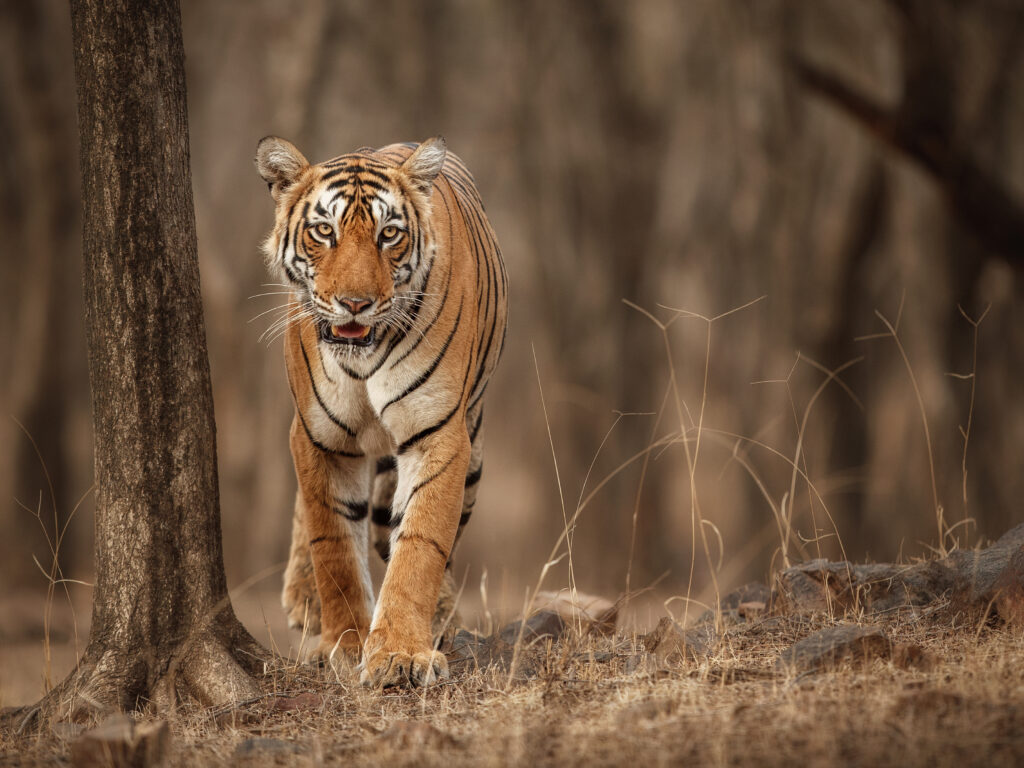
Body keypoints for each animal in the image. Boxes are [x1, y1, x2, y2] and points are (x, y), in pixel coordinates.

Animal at [254, 135, 507, 688]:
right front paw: (346, 644)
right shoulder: (317, 437)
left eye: (389, 234)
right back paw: (304, 599)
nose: (355, 303)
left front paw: (399, 654)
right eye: (323, 231)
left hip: (474, 451)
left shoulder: (438, 433)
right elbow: (333, 545)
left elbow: (420, 545)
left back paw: (441, 618)